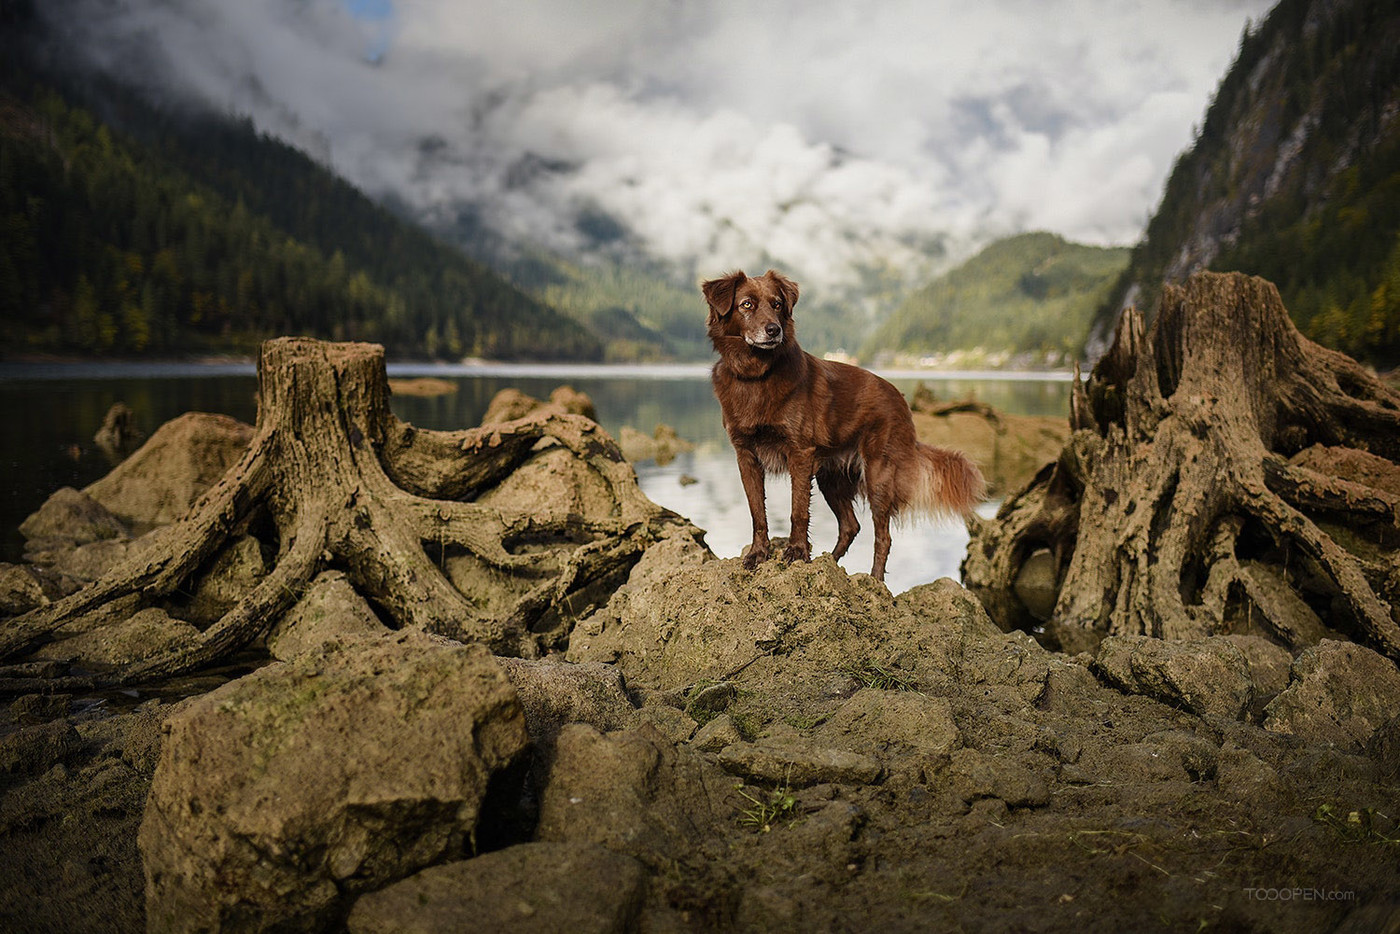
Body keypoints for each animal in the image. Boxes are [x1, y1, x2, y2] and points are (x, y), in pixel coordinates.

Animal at [700, 266, 985, 579]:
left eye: (777, 304)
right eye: (747, 304)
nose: (774, 330)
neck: (756, 376)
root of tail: (900, 398)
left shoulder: (800, 454)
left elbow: (798, 510)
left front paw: (796, 553)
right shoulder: (746, 456)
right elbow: (757, 512)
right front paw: (758, 554)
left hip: (877, 475)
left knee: (882, 536)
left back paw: (875, 581)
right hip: (831, 476)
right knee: (851, 526)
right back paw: (831, 562)